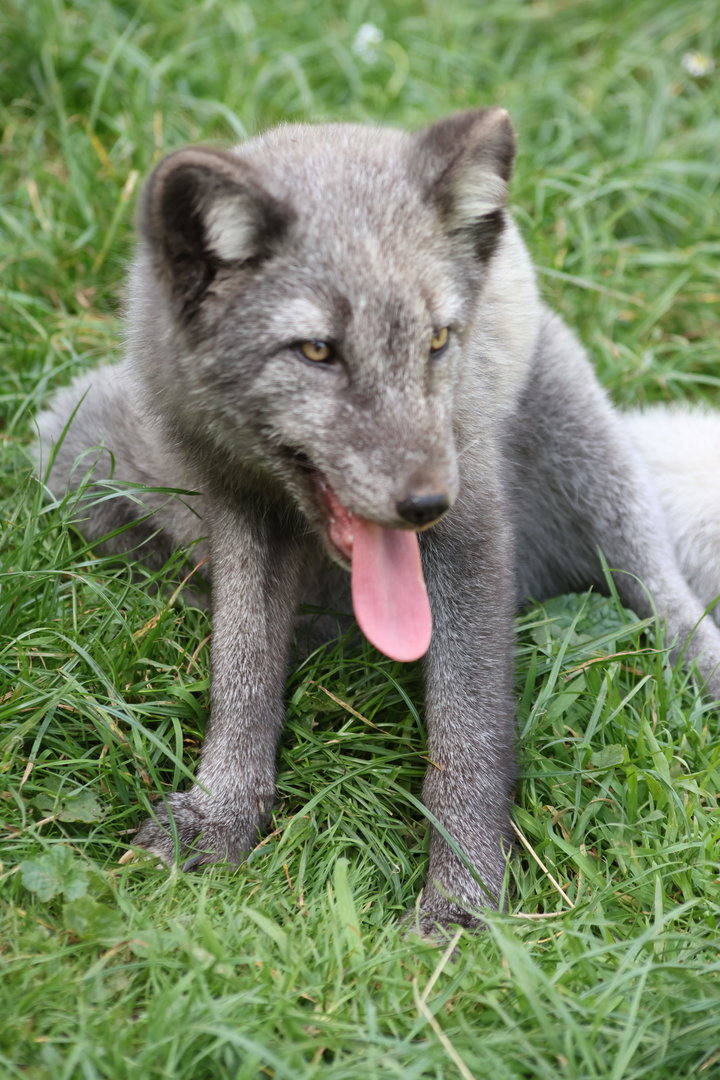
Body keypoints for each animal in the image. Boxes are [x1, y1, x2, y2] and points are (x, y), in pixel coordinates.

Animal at [37, 108, 720, 933]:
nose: (426, 503)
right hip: (72, 447)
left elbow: (466, 737)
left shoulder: (472, 525)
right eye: (317, 351)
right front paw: (224, 811)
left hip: (585, 443)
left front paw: (463, 901)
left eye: (437, 341)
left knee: (673, 607)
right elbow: (241, 674)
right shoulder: (239, 505)